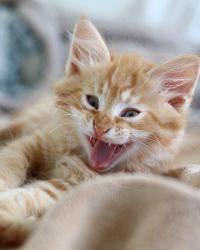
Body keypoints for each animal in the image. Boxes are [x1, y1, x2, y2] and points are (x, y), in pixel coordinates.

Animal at [0, 17, 199, 246]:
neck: (80, 158)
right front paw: (4, 181)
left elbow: (29, 196)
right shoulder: (37, 138)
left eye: (130, 114)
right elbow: (11, 160)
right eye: (93, 102)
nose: (101, 126)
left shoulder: (71, 186)